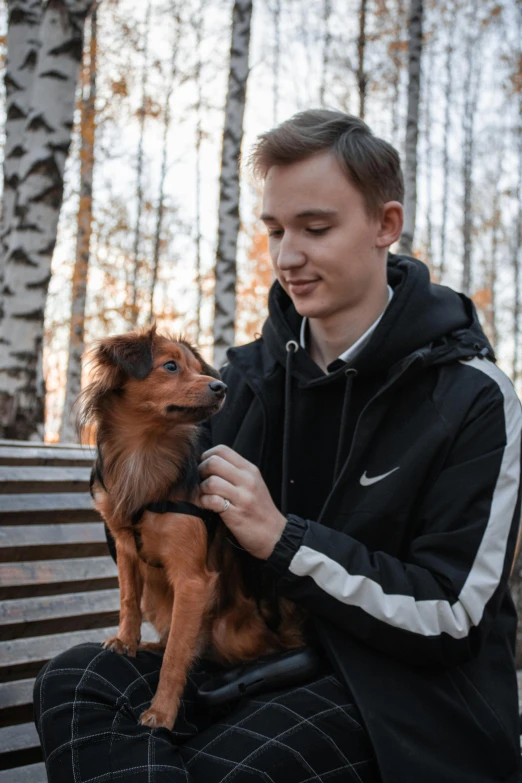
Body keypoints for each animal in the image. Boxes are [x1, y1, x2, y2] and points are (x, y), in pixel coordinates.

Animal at [78, 324, 302, 728]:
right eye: (170, 367)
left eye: (200, 370)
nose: (221, 387)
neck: (144, 452)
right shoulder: (124, 547)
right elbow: (128, 598)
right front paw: (126, 641)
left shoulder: (192, 580)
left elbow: (177, 654)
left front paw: (162, 712)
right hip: (157, 597)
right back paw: (152, 642)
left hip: (228, 629)